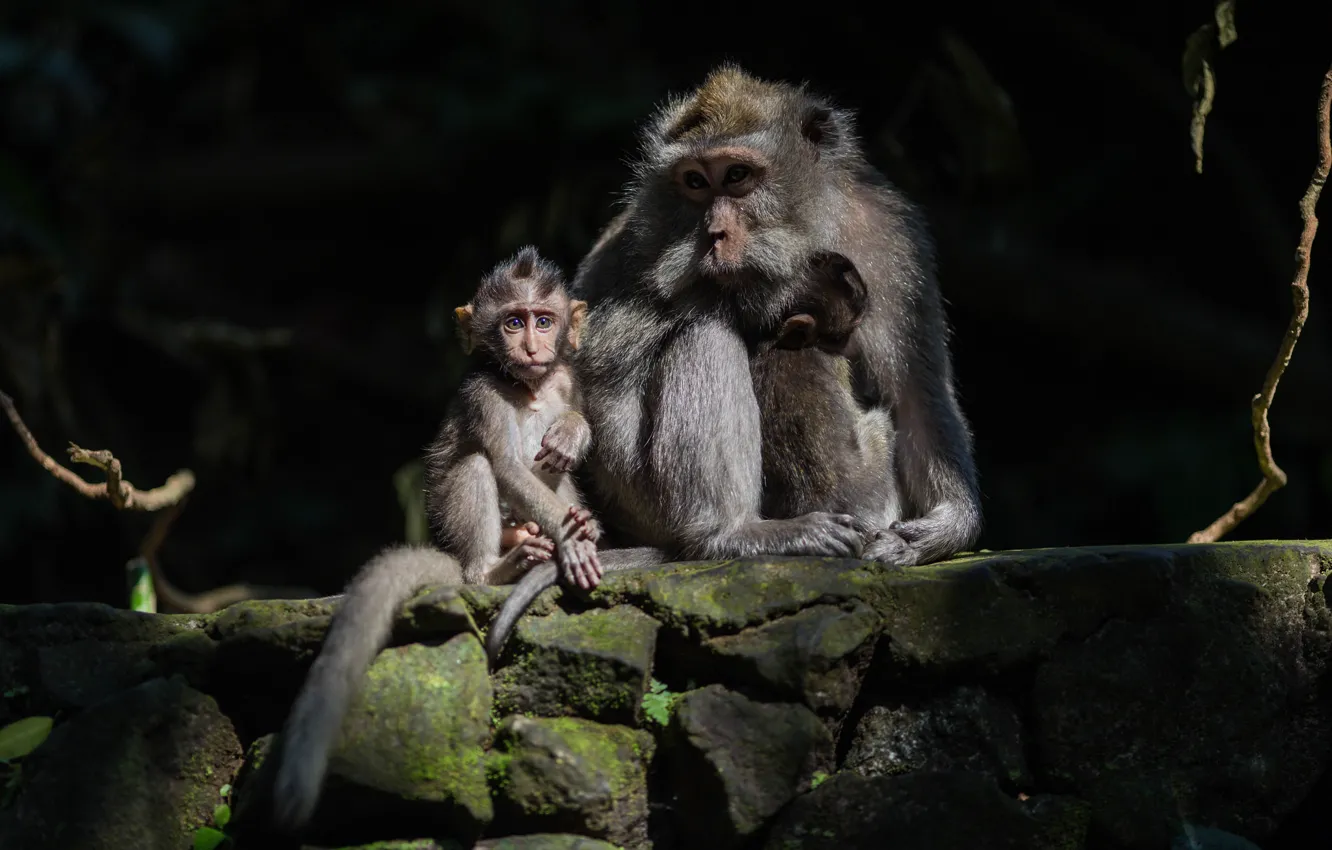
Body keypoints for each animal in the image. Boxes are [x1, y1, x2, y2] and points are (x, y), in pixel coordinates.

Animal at [268, 247, 602, 833]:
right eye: (513, 322)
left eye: (544, 320)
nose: (532, 347)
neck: (527, 386)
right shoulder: (481, 393)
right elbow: (506, 466)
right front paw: (578, 542)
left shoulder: (565, 377)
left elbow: (567, 428)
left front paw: (573, 433)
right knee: (477, 467)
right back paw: (495, 570)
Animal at [570, 64, 981, 568]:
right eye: (695, 182)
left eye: (737, 175)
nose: (714, 234)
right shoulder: (642, 239)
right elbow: (604, 357)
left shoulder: (893, 238)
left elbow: (916, 391)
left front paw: (943, 528)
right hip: (640, 496)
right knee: (705, 335)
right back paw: (731, 533)